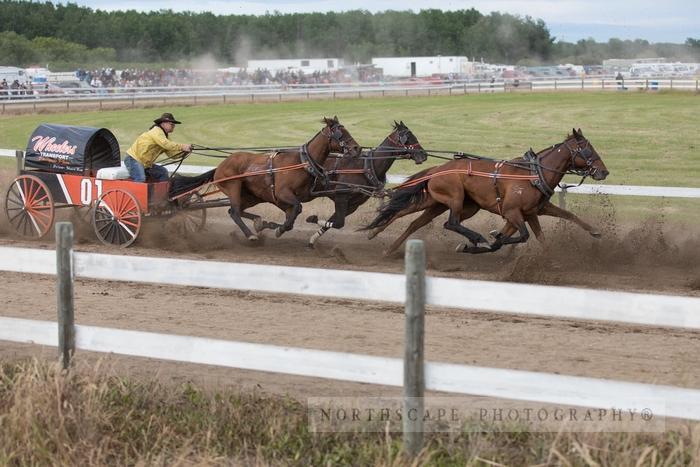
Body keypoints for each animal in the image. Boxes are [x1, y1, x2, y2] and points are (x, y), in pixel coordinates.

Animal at [215, 116, 360, 241]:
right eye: (341, 133)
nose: (357, 148)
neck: (302, 162)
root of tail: (221, 165)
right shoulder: (282, 193)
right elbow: (297, 207)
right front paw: (279, 229)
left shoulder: (289, 198)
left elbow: (294, 214)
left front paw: (274, 226)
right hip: (233, 185)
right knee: (234, 212)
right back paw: (250, 235)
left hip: (252, 196)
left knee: (236, 210)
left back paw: (258, 222)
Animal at [304, 122, 430, 250]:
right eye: (408, 138)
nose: (424, 155)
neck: (367, 167)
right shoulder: (341, 196)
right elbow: (338, 223)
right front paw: (312, 219)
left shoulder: (353, 205)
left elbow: (335, 222)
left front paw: (312, 239)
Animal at [364, 129, 608, 256]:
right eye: (587, 149)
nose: (604, 171)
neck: (532, 174)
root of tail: (438, 168)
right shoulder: (512, 211)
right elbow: (523, 235)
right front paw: (487, 240)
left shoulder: (533, 211)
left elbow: (560, 221)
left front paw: (595, 231)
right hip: (454, 198)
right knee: (449, 222)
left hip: (440, 203)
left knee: (411, 219)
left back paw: (382, 241)